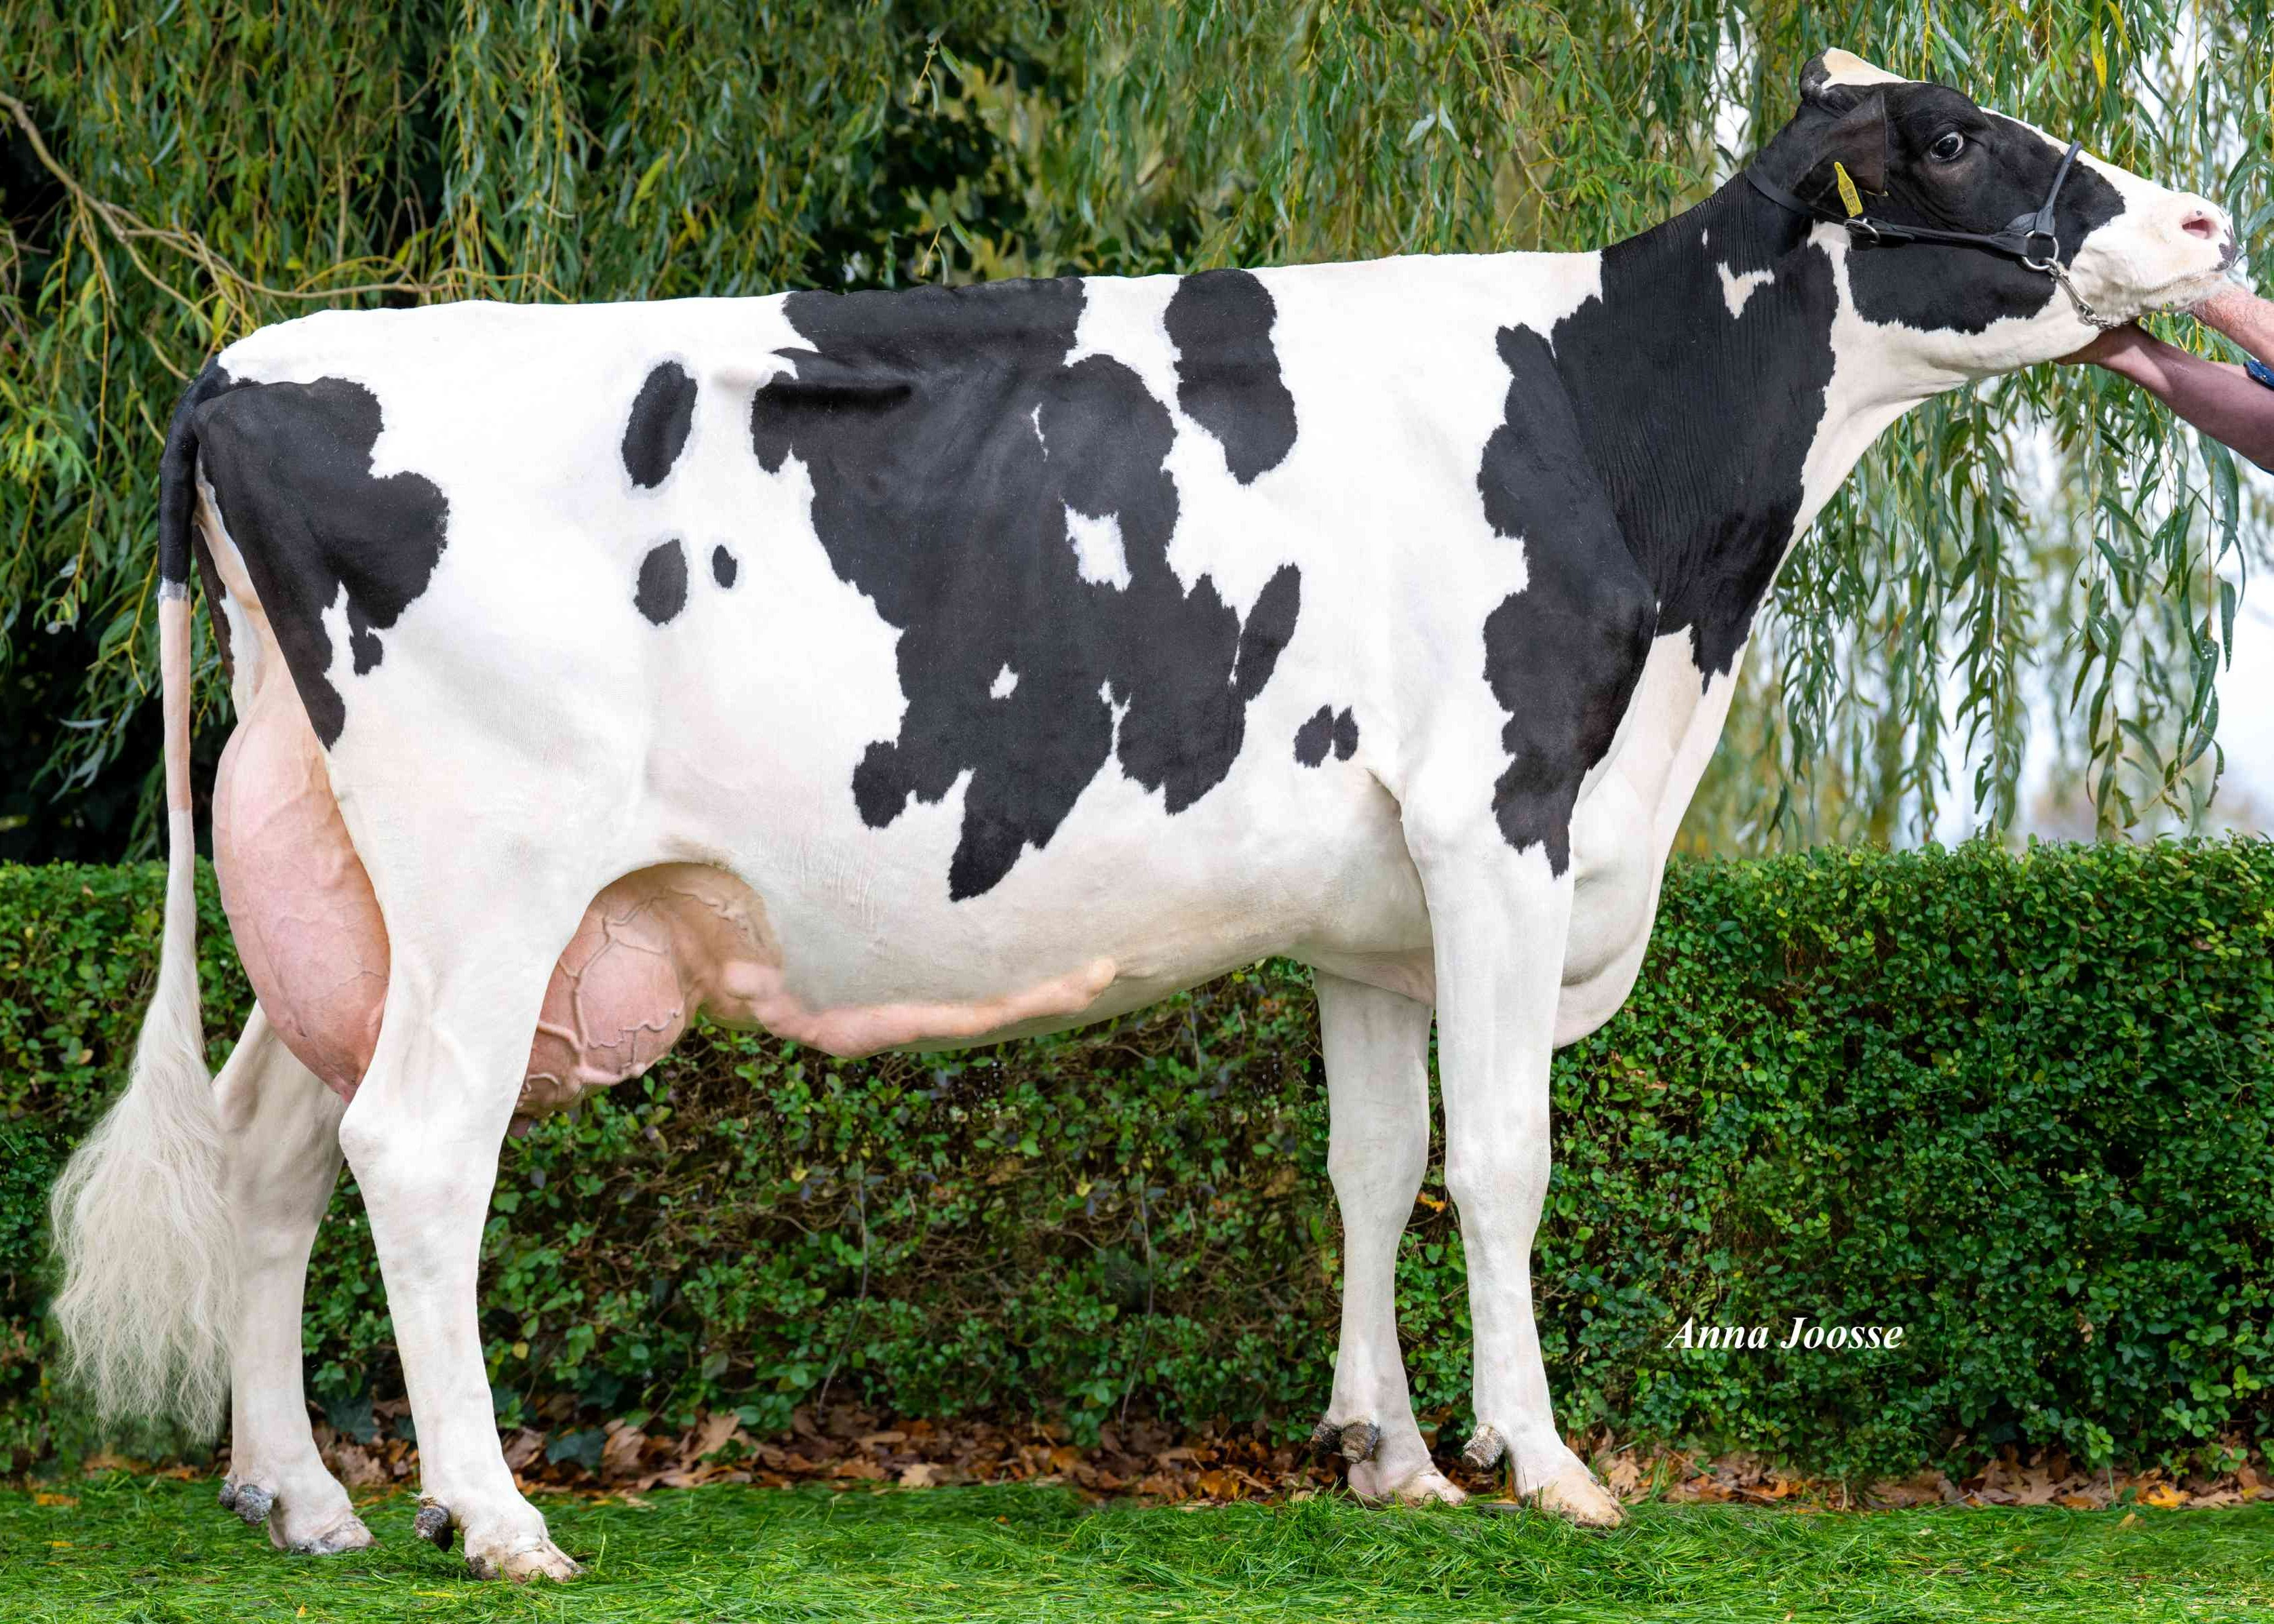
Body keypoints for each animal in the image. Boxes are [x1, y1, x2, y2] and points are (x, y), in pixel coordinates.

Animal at [49, 50, 2234, 1580]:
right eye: (1951, 138)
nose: (2213, 225)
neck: (1623, 448)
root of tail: (250, 360)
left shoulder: (1374, 913)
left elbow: (1376, 1166)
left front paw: (1390, 1459)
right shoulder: (1503, 820)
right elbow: (1505, 1161)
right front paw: (1544, 1467)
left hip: (348, 896)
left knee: (267, 1147)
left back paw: (300, 1496)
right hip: (490, 876)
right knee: (419, 1153)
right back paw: (490, 1517)